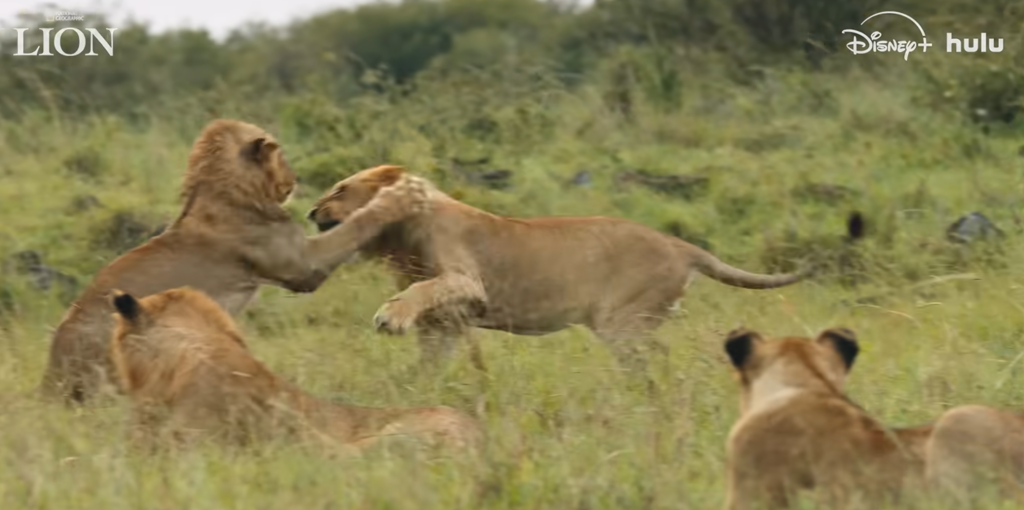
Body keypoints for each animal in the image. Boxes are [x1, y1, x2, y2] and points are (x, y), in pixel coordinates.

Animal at [40, 120, 427, 404]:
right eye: (281, 156)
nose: (295, 180)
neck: (222, 190)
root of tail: (51, 375)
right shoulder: (303, 266)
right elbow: (355, 224)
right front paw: (401, 195)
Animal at [306, 165, 813, 383]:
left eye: (340, 189)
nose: (311, 211)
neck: (398, 236)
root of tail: (679, 244)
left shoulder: (468, 282)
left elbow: (423, 288)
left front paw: (390, 318)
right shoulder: (446, 321)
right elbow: (432, 354)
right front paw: (413, 385)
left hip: (621, 322)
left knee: (660, 355)